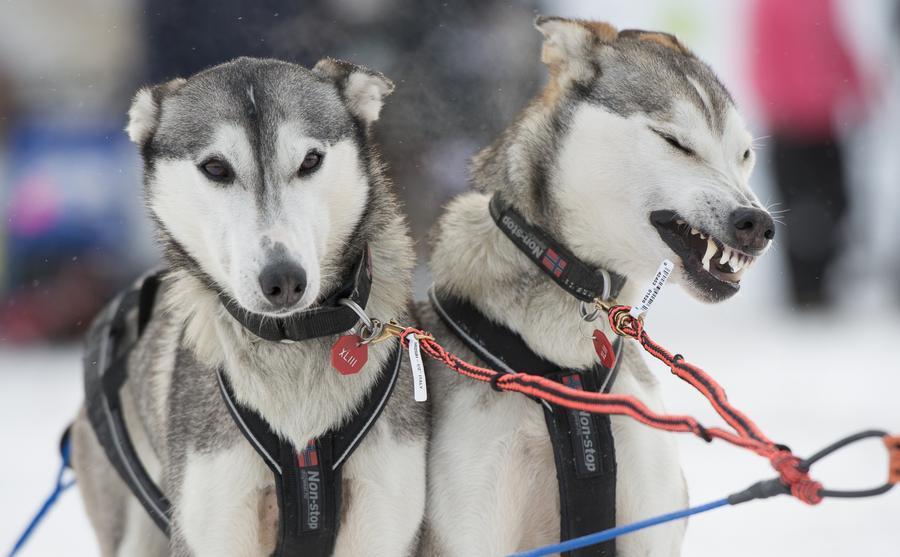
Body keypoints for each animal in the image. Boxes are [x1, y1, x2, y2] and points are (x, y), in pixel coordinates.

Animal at [68, 57, 428, 556]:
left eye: (311, 160)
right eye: (216, 167)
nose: (285, 280)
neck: (291, 344)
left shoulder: (382, 519)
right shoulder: (215, 524)